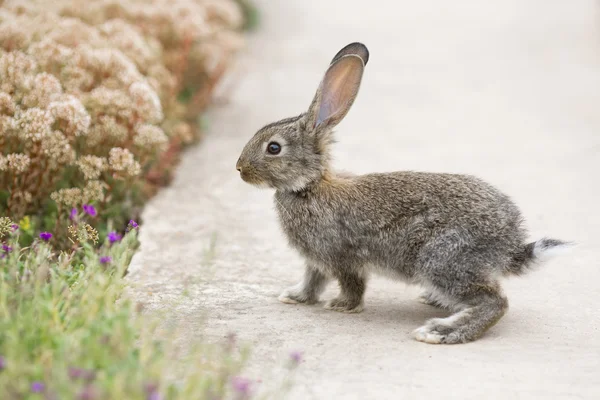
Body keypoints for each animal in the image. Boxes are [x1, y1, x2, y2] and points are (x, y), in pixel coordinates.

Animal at [236, 41, 572, 344]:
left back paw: (440, 331)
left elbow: (351, 284)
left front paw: (342, 306)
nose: (239, 168)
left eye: (274, 148)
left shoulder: (342, 256)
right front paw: (295, 297)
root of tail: (510, 242)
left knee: (494, 302)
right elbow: (312, 279)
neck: (309, 186)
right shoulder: (316, 260)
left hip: (441, 258)